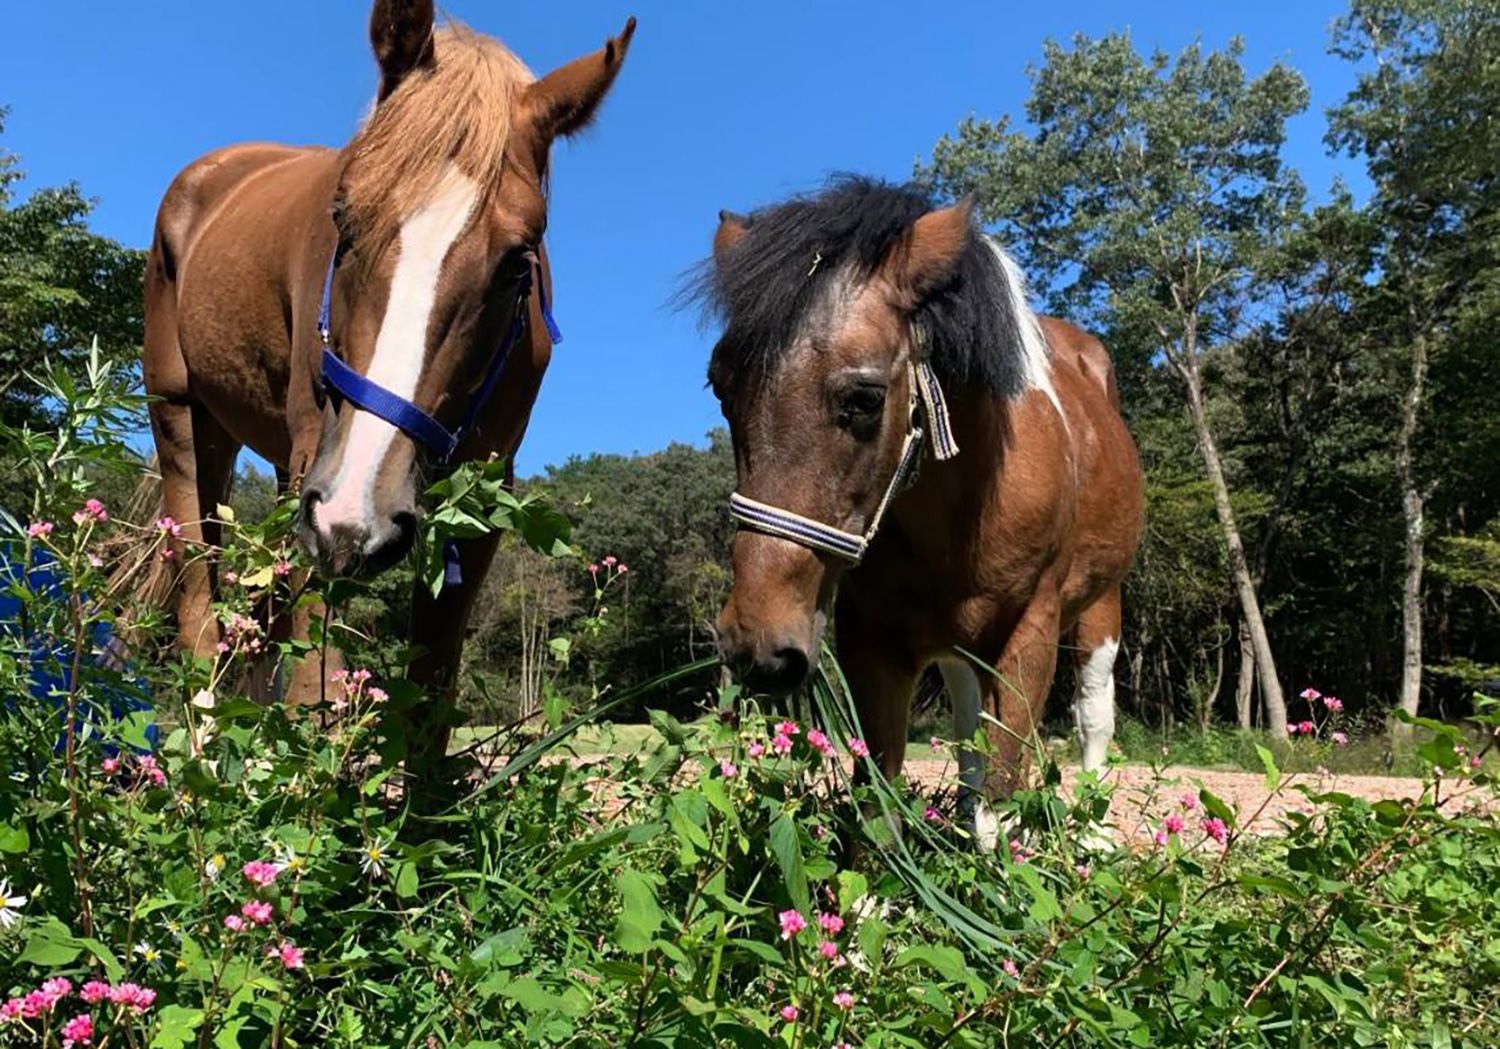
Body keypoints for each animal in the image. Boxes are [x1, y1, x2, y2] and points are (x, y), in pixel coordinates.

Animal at [141, 0, 634, 782]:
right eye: (343, 217)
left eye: (517, 261)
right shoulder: (320, 486)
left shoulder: (480, 492)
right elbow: (315, 683)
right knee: (199, 593)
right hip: (188, 424)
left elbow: (430, 691)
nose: (356, 517)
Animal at [695, 177, 1144, 847]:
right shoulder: (872, 636)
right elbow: (879, 804)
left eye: (864, 398)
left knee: (1091, 714)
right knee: (967, 729)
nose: (757, 644)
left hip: (1100, 604)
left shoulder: (1030, 631)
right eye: (722, 389)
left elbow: (1004, 791)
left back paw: (1092, 836)